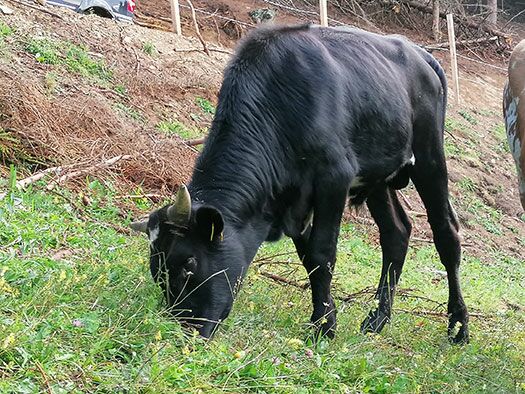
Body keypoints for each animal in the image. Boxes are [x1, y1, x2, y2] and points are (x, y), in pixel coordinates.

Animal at [131, 23, 466, 342]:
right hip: (378, 176)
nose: (185, 327)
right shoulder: (294, 201)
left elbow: (322, 253)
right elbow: (309, 260)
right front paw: (325, 319)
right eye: (157, 270)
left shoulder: (334, 178)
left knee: (446, 233)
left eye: (189, 263)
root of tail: (420, 54)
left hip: (429, 157)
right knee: (396, 233)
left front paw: (323, 329)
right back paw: (378, 319)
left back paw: (459, 325)